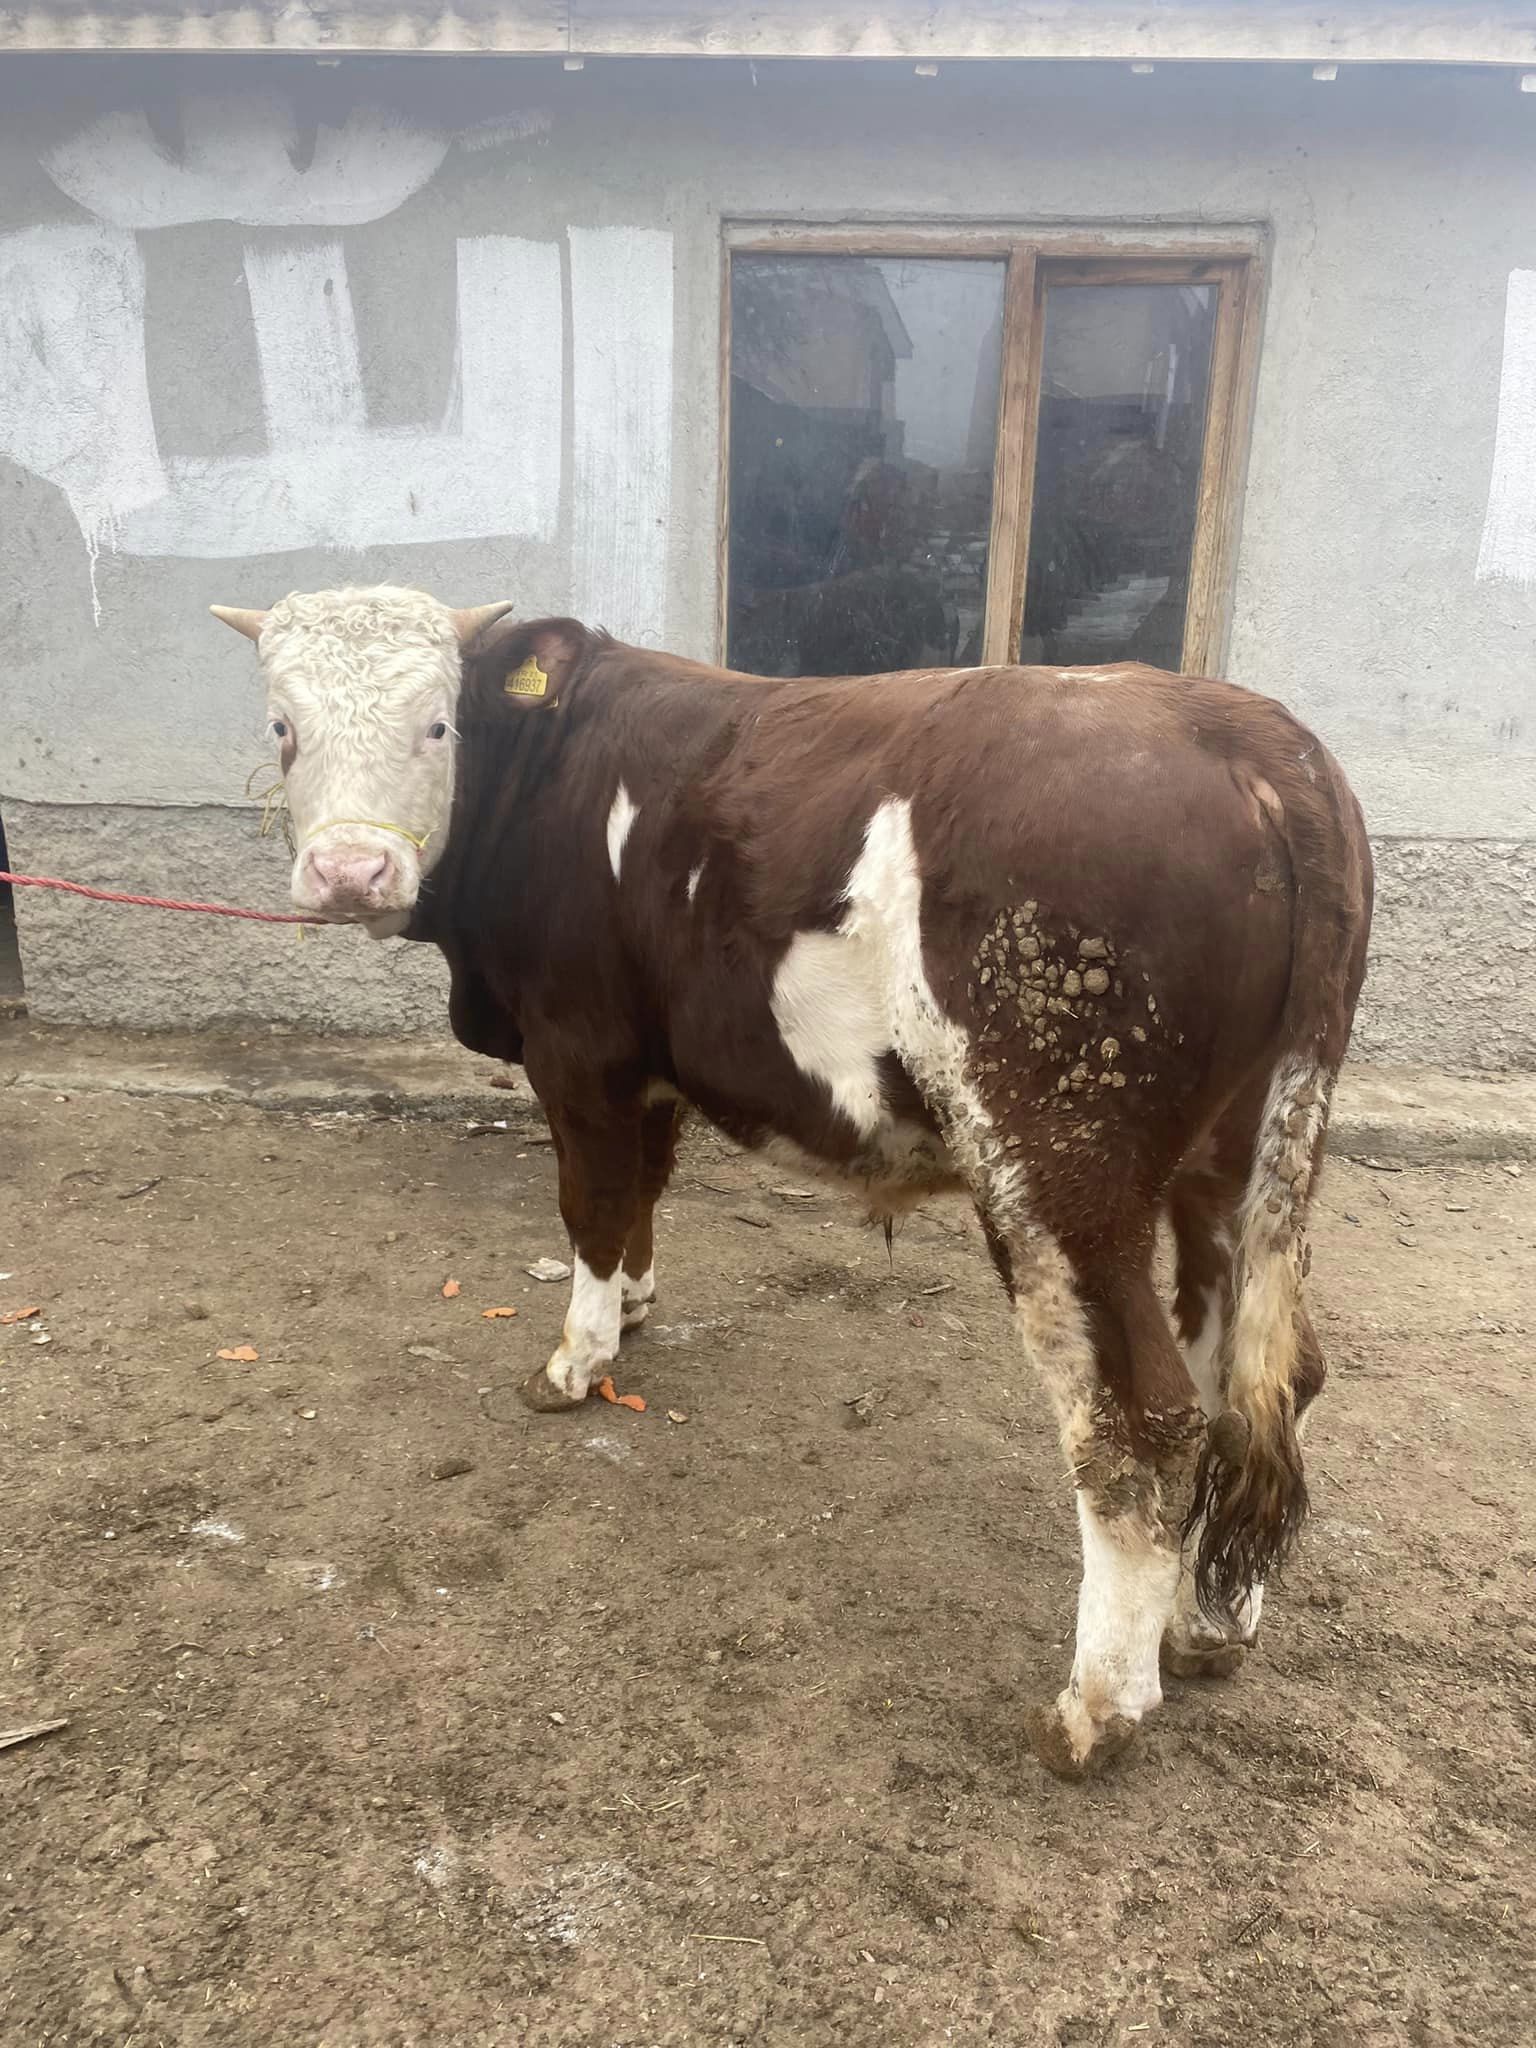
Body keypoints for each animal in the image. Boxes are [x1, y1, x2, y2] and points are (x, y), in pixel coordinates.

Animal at [211, 586, 1372, 1780]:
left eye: (438, 724)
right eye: (283, 725)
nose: (351, 873)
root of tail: (1250, 735)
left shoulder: (578, 1048)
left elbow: (591, 1202)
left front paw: (575, 1361)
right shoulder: (654, 1065)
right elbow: (644, 1188)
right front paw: (634, 1307)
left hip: (1061, 1162)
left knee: (1140, 1414)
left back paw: (1096, 1705)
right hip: (1238, 1158)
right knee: (1262, 1377)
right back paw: (1208, 1623)